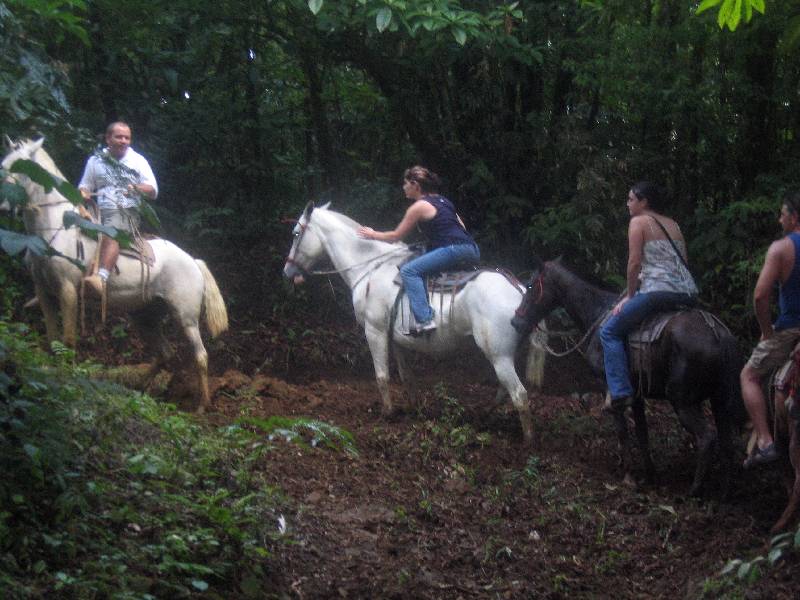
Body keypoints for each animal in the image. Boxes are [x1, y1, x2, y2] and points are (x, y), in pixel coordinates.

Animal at [510, 258, 748, 496]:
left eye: (530, 285)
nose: (515, 321)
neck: (597, 313)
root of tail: (720, 334)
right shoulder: (637, 394)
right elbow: (642, 433)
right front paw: (650, 475)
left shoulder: (610, 388)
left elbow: (623, 432)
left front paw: (628, 476)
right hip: (719, 400)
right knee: (727, 442)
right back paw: (725, 492)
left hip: (682, 400)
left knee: (707, 437)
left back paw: (694, 489)